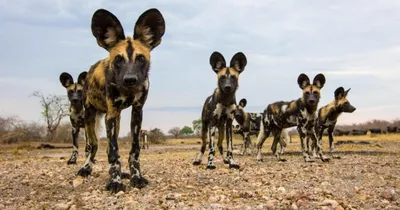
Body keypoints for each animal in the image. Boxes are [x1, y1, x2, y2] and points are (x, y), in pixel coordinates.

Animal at [76, 7, 166, 193]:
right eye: (118, 59)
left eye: (141, 58)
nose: (130, 79)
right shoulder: (110, 113)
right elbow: (113, 152)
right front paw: (115, 181)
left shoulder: (136, 113)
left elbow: (134, 151)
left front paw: (135, 177)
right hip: (91, 117)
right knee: (93, 146)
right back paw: (86, 168)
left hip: (115, 120)